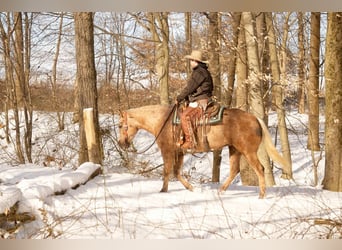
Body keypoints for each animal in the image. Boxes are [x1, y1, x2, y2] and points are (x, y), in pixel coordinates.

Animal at [117, 104, 288, 198]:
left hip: (248, 152)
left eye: (120, 125)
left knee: (260, 169)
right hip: (234, 149)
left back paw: (261, 195)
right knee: (234, 170)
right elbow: (176, 172)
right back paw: (220, 191)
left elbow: (167, 171)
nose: (121, 143)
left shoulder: (167, 150)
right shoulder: (179, 152)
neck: (163, 121)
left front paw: (163, 191)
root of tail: (255, 118)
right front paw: (190, 188)